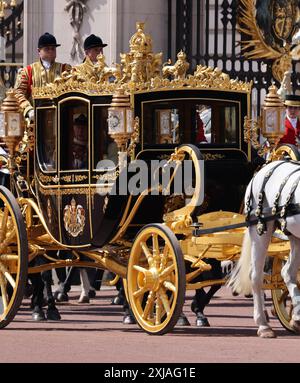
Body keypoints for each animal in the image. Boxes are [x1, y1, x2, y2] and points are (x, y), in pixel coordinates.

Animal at [230, 161, 300, 340]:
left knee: (287, 272)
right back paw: (263, 325)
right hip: (260, 229)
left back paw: (295, 317)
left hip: (295, 237)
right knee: (255, 277)